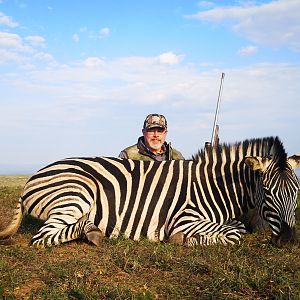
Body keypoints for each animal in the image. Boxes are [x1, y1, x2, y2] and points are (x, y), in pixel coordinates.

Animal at [0, 136, 298, 246]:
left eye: (297, 192)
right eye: (268, 192)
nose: (288, 240)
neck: (217, 187)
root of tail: (31, 178)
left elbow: (237, 226)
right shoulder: (185, 218)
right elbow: (235, 233)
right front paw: (184, 240)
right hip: (77, 192)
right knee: (43, 237)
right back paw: (93, 232)